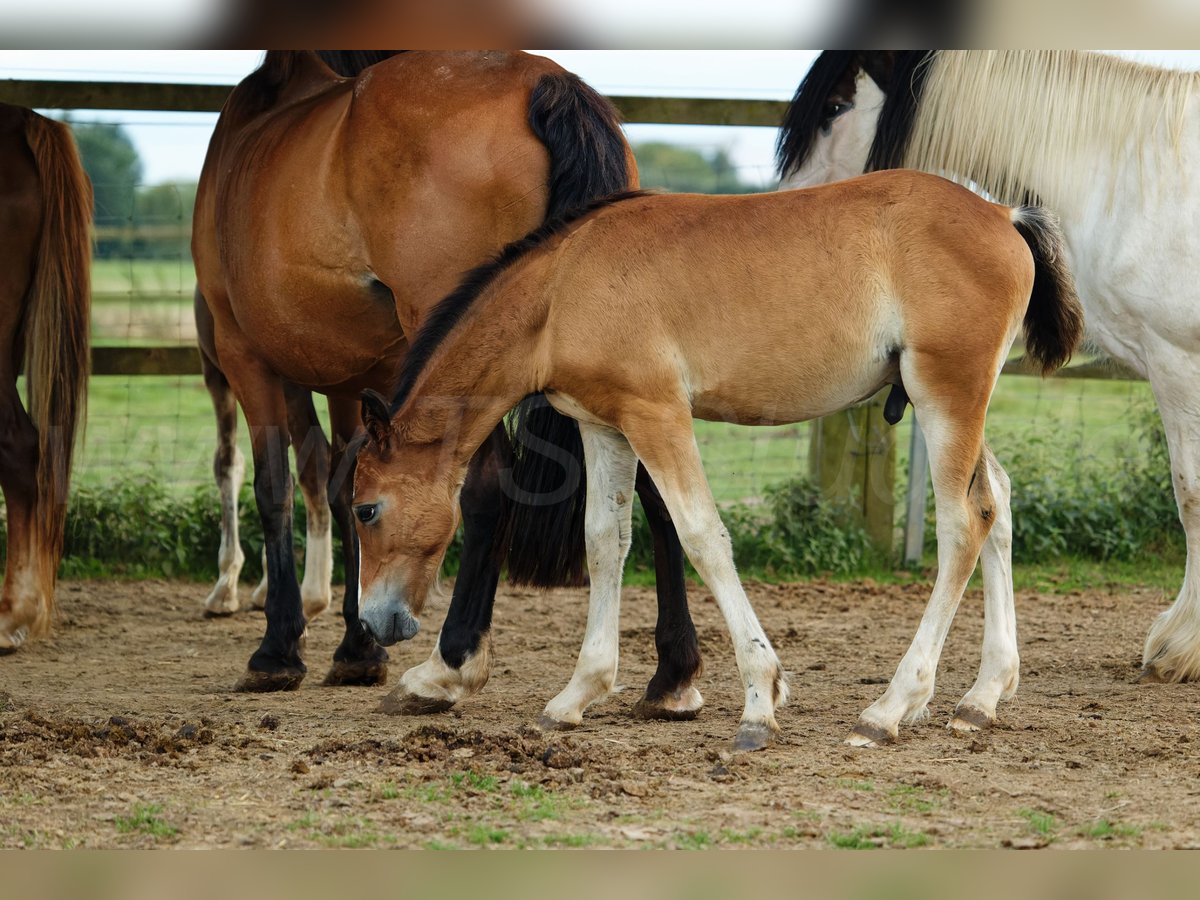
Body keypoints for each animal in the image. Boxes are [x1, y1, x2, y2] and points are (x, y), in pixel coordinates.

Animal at [192, 50, 705, 720]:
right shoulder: (359, 378)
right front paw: (356, 648)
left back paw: (450, 663)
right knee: (656, 486)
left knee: (486, 487)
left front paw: (279, 650)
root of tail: (546, 85)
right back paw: (673, 675)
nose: (383, 625)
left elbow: (277, 486)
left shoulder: (246, 355)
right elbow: (341, 480)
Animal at [350, 171, 1084, 750]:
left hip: (944, 394)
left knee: (963, 523)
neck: (562, 288)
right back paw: (982, 697)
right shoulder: (602, 425)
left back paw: (890, 708)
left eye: (366, 509)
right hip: (954, 403)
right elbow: (604, 542)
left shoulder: (657, 413)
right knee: (998, 501)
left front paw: (761, 700)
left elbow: (701, 536)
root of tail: (1003, 215)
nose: (376, 621)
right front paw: (574, 697)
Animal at [777, 50, 1200, 685]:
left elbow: (1189, 496)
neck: (1132, 177)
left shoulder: (1178, 361)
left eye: (834, 107)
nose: (783, 203)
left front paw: (1182, 647)